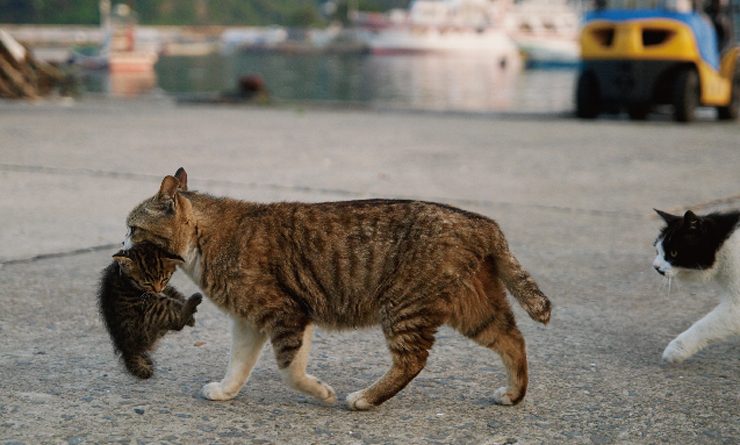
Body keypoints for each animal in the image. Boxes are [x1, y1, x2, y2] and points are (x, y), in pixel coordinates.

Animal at [98, 243, 204, 378]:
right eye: (147, 283)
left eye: (164, 279)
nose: (157, 290)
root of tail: (127, 349)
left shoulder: (163, 289)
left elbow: (172, 291)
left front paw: (185, 306)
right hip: (154, 310)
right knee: (178, 323)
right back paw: (194, 299)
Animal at [124, 167, 548, 410]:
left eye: (132, 227)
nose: (122, 243)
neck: (203, 240)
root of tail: (482, 222)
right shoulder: (251, 321)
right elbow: (240, 364)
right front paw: (227, 391)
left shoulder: (285, 313)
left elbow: (290, 370)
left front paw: (320, 393)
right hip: (473, 310)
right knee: (513, 339)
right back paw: (514, 395)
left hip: (404, 307)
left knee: (412, 361)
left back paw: (365, 398)